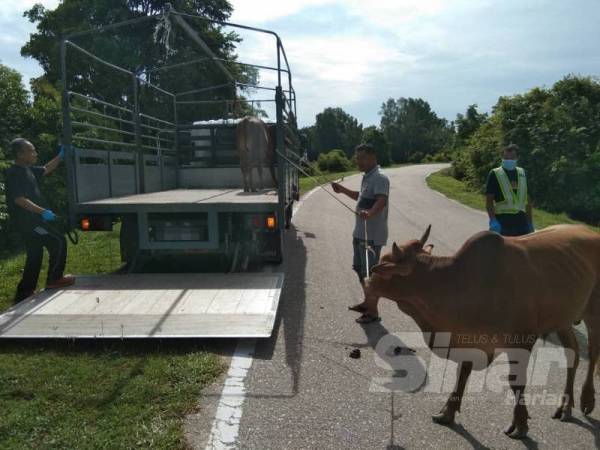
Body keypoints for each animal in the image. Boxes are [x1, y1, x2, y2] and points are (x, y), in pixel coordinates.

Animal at [364, 225, 600, 440]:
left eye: (381, 264)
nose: (366, 281)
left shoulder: (523, 340)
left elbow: (516, 381)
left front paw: (520, 424)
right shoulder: (469, 338)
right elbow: (462, 373)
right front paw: (448, 412)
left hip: (592, 314)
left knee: (592, 353)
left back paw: (587, 400)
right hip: (563, 320)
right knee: (573, 355)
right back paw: (565, 407)